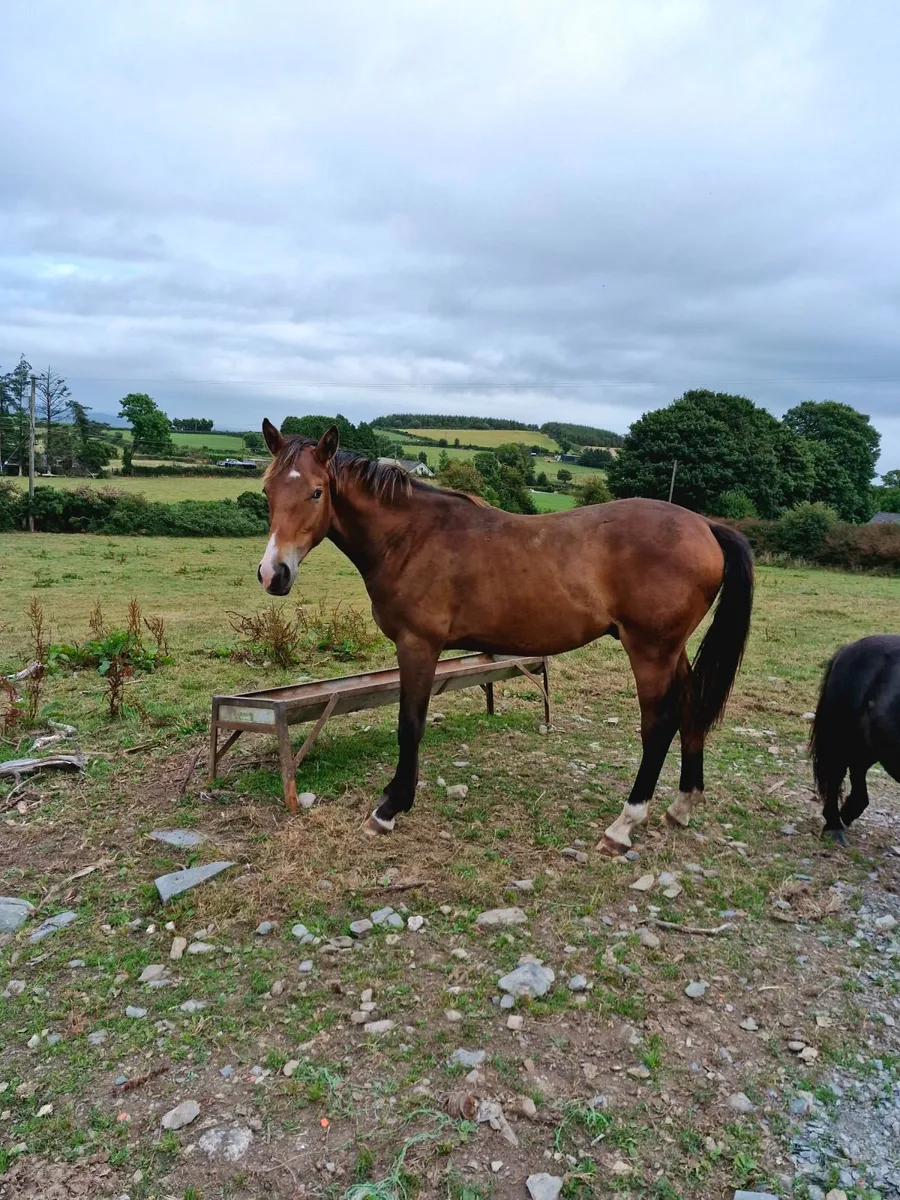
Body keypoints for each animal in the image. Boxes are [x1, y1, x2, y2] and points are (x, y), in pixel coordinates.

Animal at [257, 421, 754, 852]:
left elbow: (409, 725)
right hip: (672, 650)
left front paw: (390, 809)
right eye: (268, 490)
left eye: (316, 491)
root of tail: (706, 525)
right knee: (690, 706)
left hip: (650, 650)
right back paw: (682, 806)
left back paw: (624, 824)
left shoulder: (418, 645)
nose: (273, 573)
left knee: (659, 724)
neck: (411, 537)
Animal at [810, 634, 900, 844]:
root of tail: (848, 648)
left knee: (857, 770)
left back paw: (847, 813)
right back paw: (834, 826)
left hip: (869, 742)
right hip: (843, 735)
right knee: (836, 774)